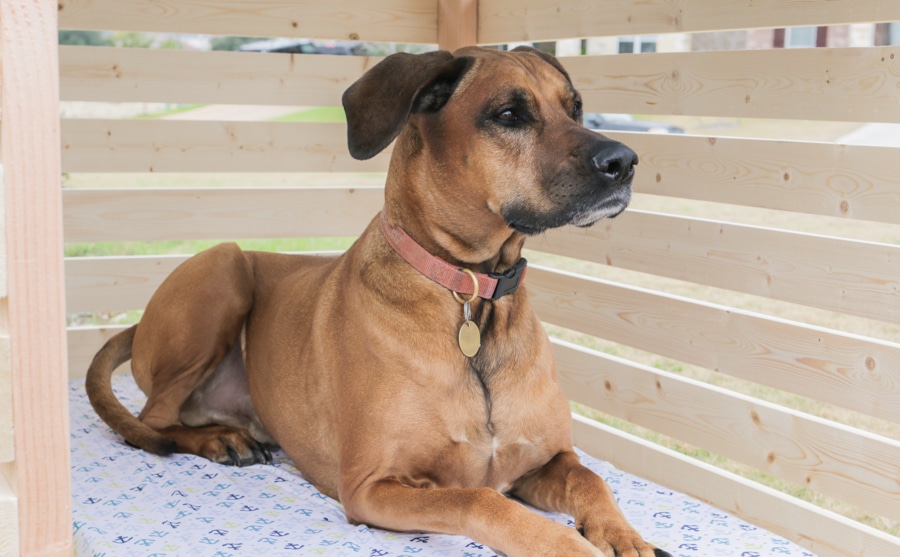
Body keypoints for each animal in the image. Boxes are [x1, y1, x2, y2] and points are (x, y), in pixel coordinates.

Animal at [89, 47, 668, 556]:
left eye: (575, 107)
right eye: (509, 114)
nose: (624, 161)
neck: (470, 291)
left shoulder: (544, 461)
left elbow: (591, 478)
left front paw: (625, 537)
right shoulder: (372, 486)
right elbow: (480, 499)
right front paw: (561, 543)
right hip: (222, 267)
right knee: (153, 421)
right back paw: (217, 440)